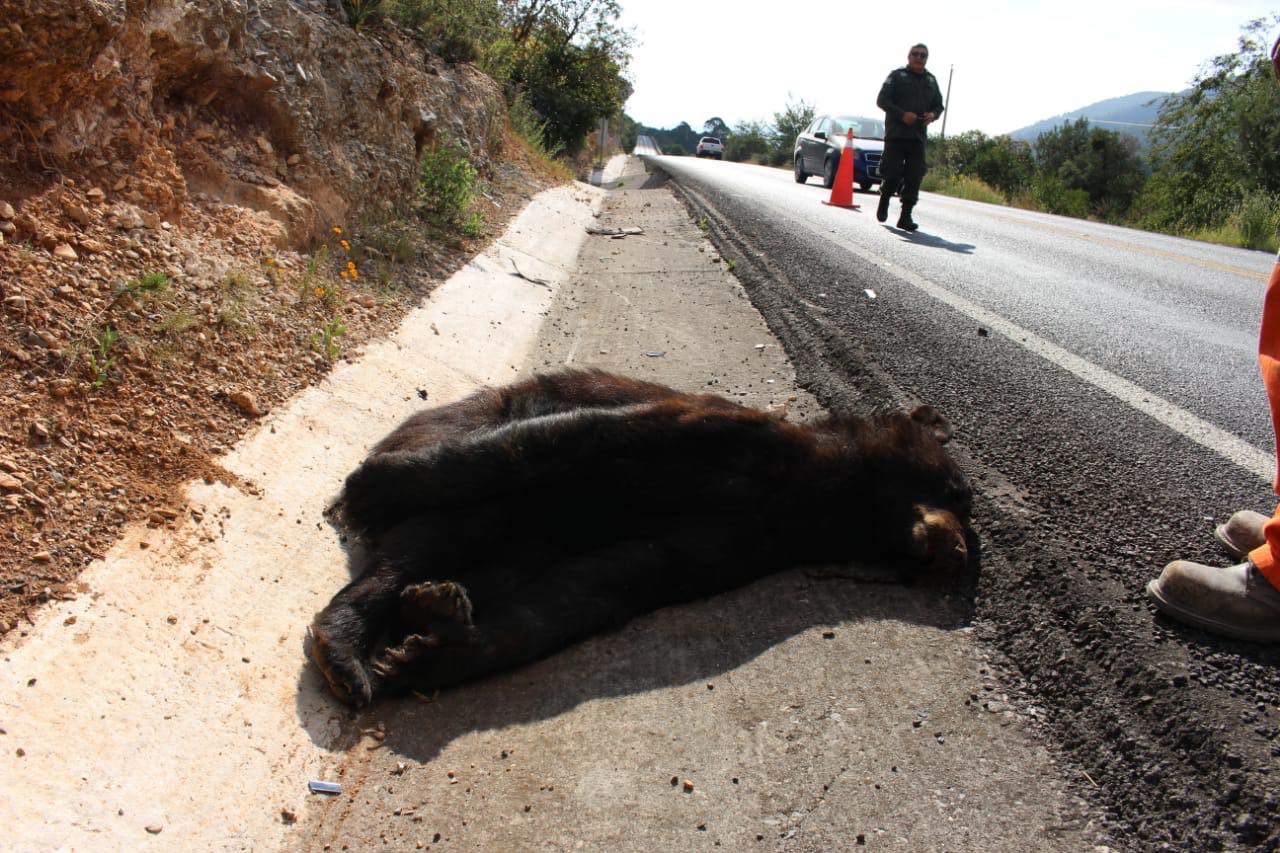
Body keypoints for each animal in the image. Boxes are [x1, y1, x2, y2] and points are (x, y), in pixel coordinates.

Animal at [308, 369, 973, 707]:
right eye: (957, 486)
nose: (961, 553)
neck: (826, 497)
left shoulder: (745, 540)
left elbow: (599, 585)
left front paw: (429, 656)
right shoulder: (718, 435)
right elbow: (565, 441)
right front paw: (374, 486)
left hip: (532, 539)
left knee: (501, 565)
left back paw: (428, 613)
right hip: (466, 438)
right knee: (449, 521)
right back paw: (349, 635)